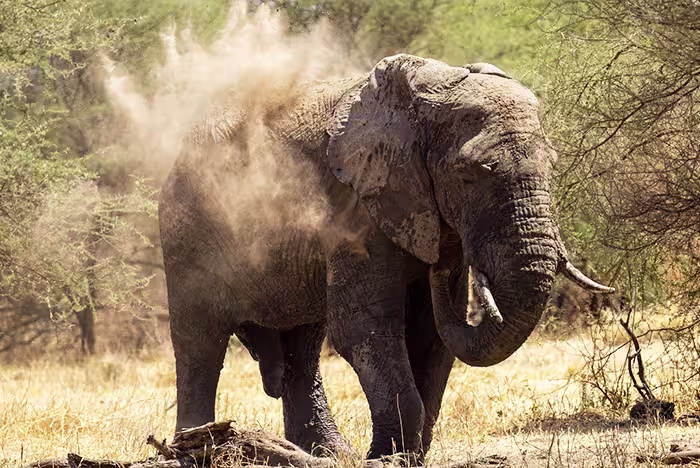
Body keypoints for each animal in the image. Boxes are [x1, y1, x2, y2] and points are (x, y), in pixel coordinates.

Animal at [158, 54, 613, 461]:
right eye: (469, 175)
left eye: (552, 166)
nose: (439, 265)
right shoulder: (357, 205)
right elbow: (363, 326)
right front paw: (387, 458)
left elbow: (431, 334)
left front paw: (405, 455)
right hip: (187, 232)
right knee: (200, 343)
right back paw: (191, 449)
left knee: (303, 347)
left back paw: (327, 454)